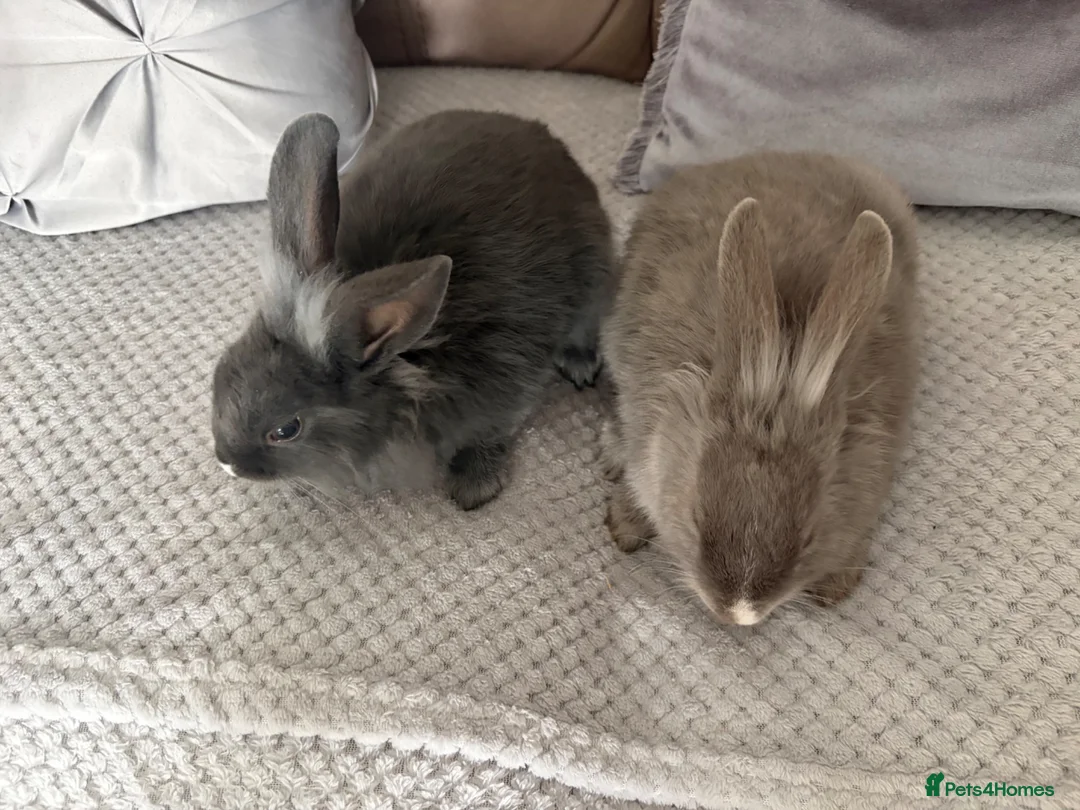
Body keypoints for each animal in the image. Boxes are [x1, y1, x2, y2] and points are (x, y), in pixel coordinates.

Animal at [211, 109, 614, 510]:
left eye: (286, 430)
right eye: (220, 372)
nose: (227, 462)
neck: (411, 365)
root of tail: (544, 137)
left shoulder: (508, 381)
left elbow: (492, 429)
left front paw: (474, 486)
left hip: (595, 272)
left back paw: (579, 364)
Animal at [601, 151, 919, 625]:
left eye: (809, 538)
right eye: (696, 518)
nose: (738, 613)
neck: (780, 370)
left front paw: (836, 585)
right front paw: (623, 527)